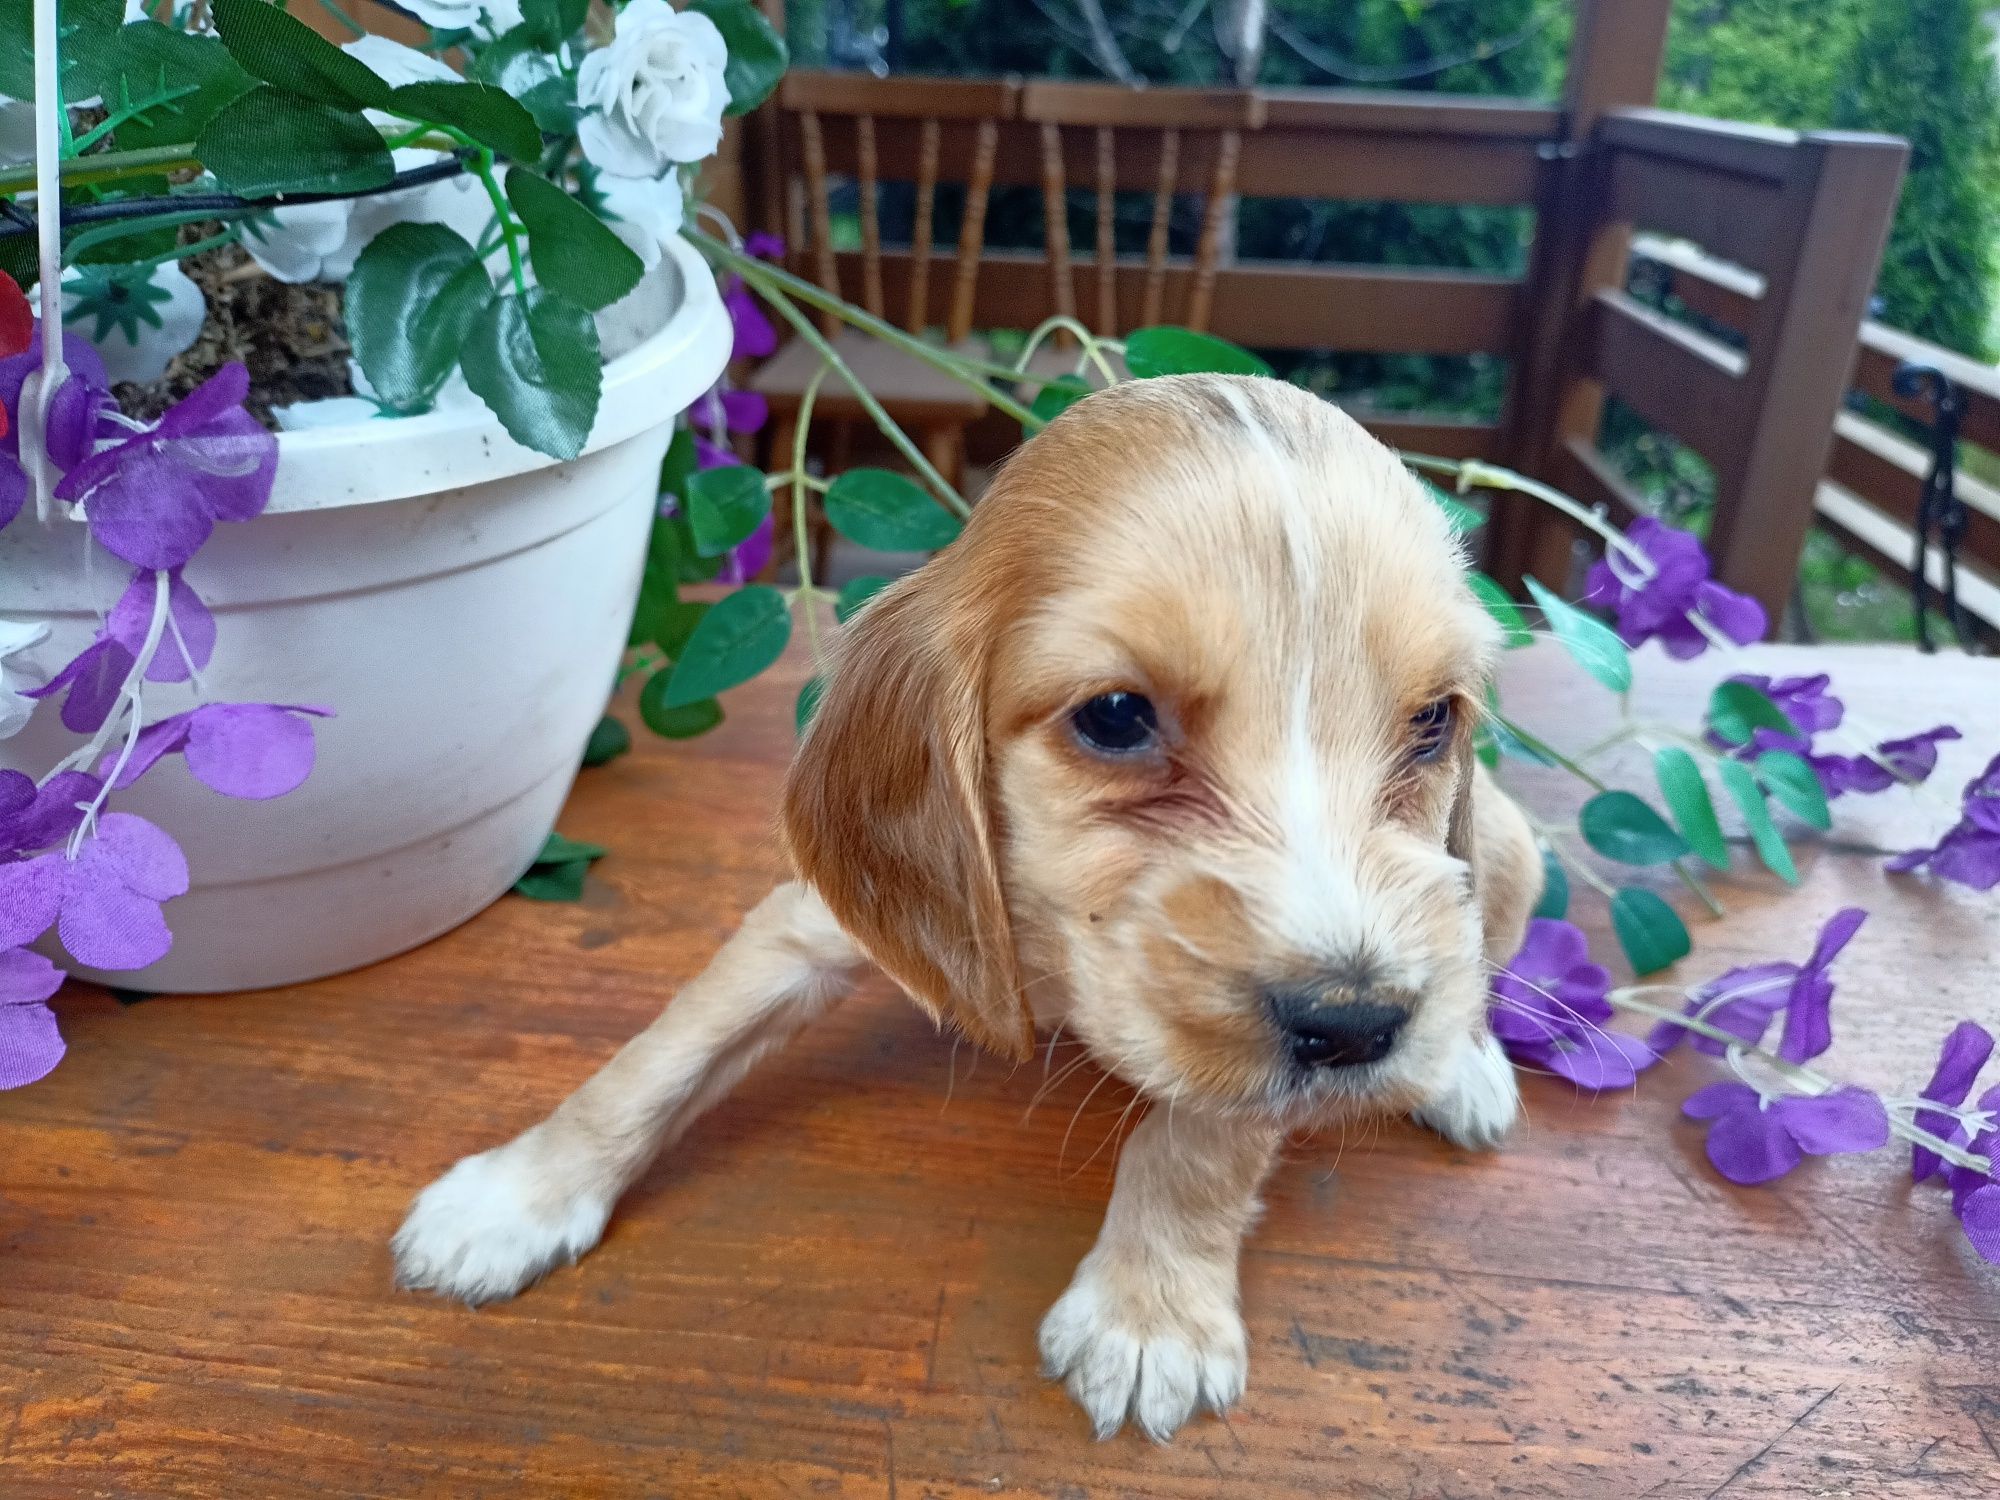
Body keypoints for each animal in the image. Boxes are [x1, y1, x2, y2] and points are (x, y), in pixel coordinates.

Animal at [394, 374, 1544, 1448]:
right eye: (1116, 716)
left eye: (1432, 720)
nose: (1358, 1027)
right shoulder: (808, 921)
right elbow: (656, 1059)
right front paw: (515, 1197)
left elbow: (1199, 1142)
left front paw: (1148, 1314)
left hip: (1505, 852)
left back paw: (1464, 1071)